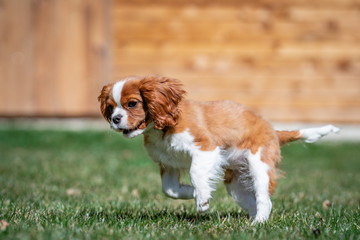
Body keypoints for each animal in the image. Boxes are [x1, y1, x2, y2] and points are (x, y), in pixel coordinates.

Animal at [98, 75, 340, 223]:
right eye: (110, 107)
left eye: (132, 104)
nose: (115, 119)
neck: (161, 128)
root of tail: (273, 130)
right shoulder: (168, 163)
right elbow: (170, 189)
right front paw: (193, 193)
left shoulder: (205, 148)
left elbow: (196, 172)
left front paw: (203, 199)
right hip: (236, 184)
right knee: (252, 200)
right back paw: (251, 219)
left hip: (259, 165)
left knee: (264, 198)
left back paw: (258, 223)